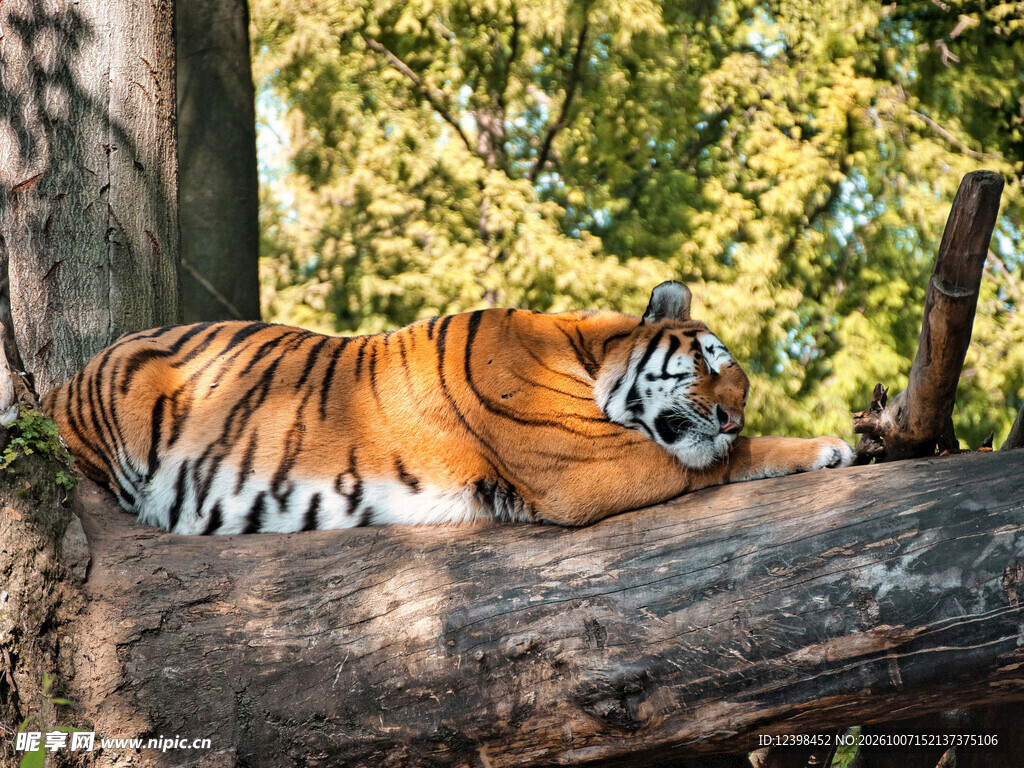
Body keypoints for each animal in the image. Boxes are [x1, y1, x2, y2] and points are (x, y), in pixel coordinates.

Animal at [41, 281, 854, 534]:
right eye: (712, 364)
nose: (732, 416)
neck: (589, 356)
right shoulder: (584, 466)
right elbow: (722, 462)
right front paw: (831, 446)